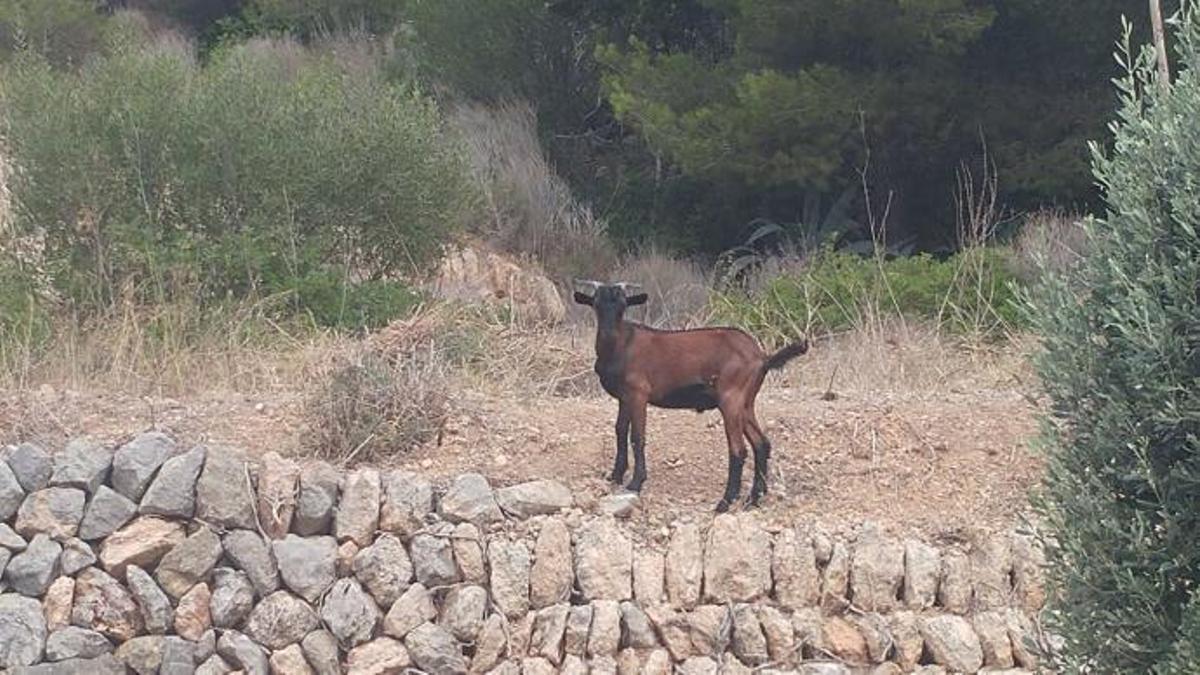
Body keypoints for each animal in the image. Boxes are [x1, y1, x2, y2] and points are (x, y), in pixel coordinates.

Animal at [573, 279, 808, 511]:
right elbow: (620, 431)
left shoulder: (638, 394)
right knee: (761, 443)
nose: (608, 334)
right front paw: (615, 476)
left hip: (730, 399)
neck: (622, 344)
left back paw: (725, 502)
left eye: (623, 306)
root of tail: (761, 356)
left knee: (738, 449)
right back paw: (753, 499)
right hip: (746, 403)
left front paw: (636, 483)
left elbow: (637, 436)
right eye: (596, 304)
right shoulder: (624, 397)